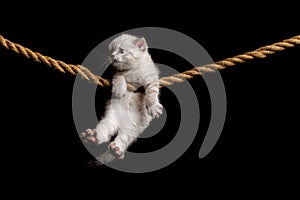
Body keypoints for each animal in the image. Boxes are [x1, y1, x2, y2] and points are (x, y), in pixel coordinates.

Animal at [81, 34, 163, 162]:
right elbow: (118, 76)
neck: (133, 69)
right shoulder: (116, 73)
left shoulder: (151, 78)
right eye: (111, 51)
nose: (113, 56)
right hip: (111, 118)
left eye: (121, 51)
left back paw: (116, 150)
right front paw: (119, 90)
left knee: (123, 139)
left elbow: (151, 94)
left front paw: (153, 106)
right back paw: (92, 137)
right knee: (104, 130)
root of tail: (121, 123)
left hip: (132, 128)